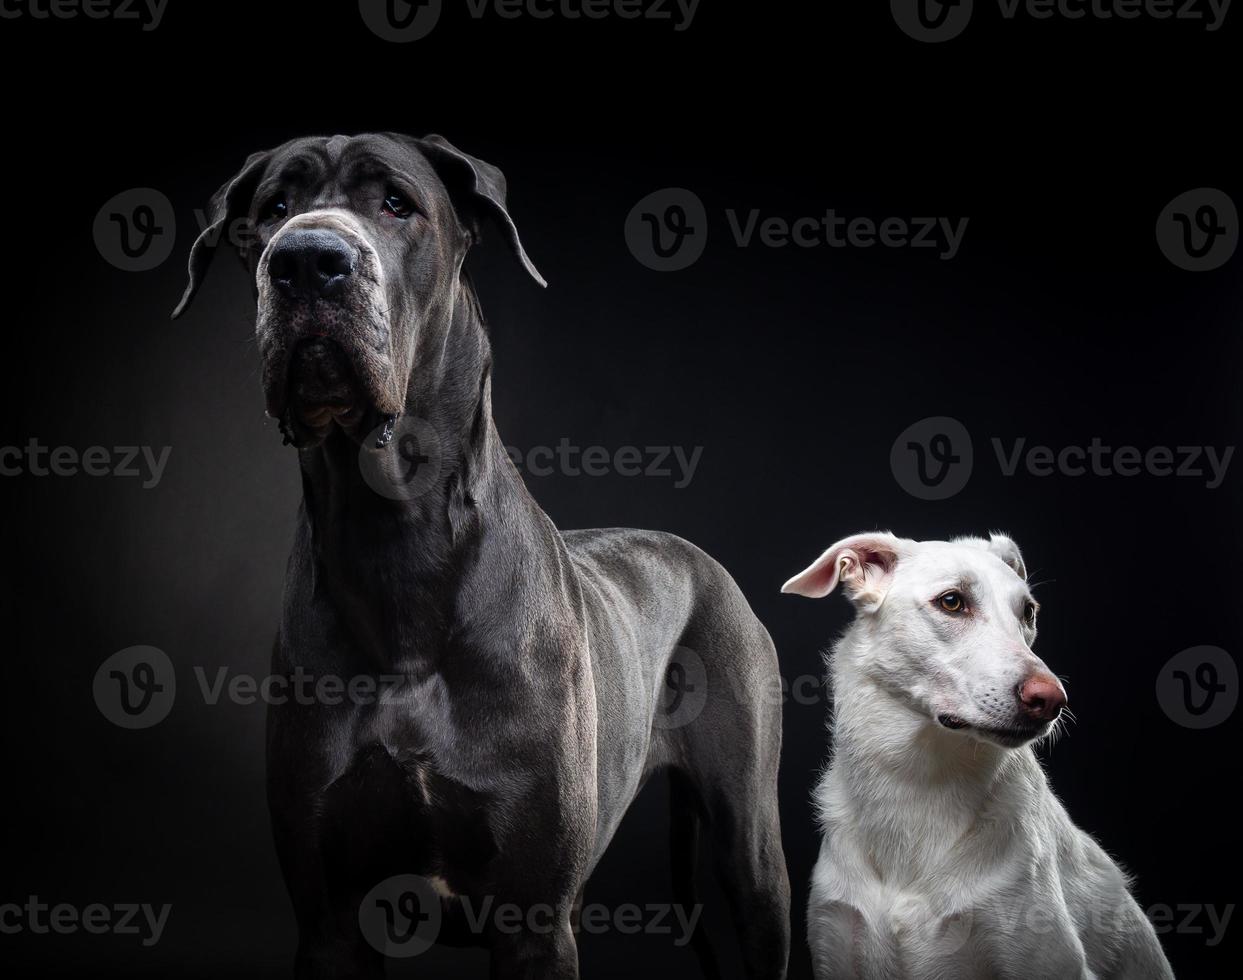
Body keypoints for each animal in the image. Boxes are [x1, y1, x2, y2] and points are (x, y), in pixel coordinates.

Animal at [780, 534, 1168, 980]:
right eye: (952, 602)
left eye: (1028, 612)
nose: (1052, 702)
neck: (918, 784)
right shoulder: (838, 942)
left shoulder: (1046, 957)